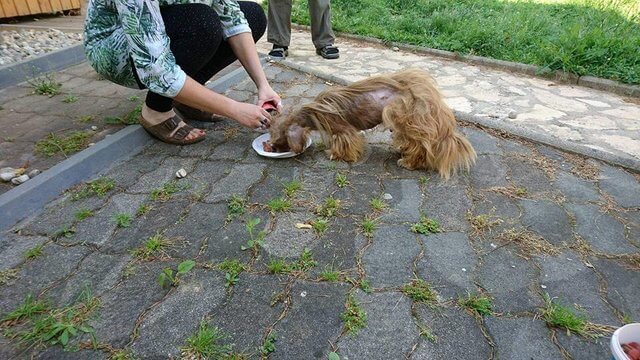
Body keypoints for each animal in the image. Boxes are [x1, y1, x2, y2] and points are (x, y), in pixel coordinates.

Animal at [268, 68, 476, 179]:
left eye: (277, 140)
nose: (270, 147)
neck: (312, 112)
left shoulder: (342, 129)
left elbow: (343, 143)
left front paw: (336, 154)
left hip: (402, 117)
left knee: (420, 146)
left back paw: (408, 162)